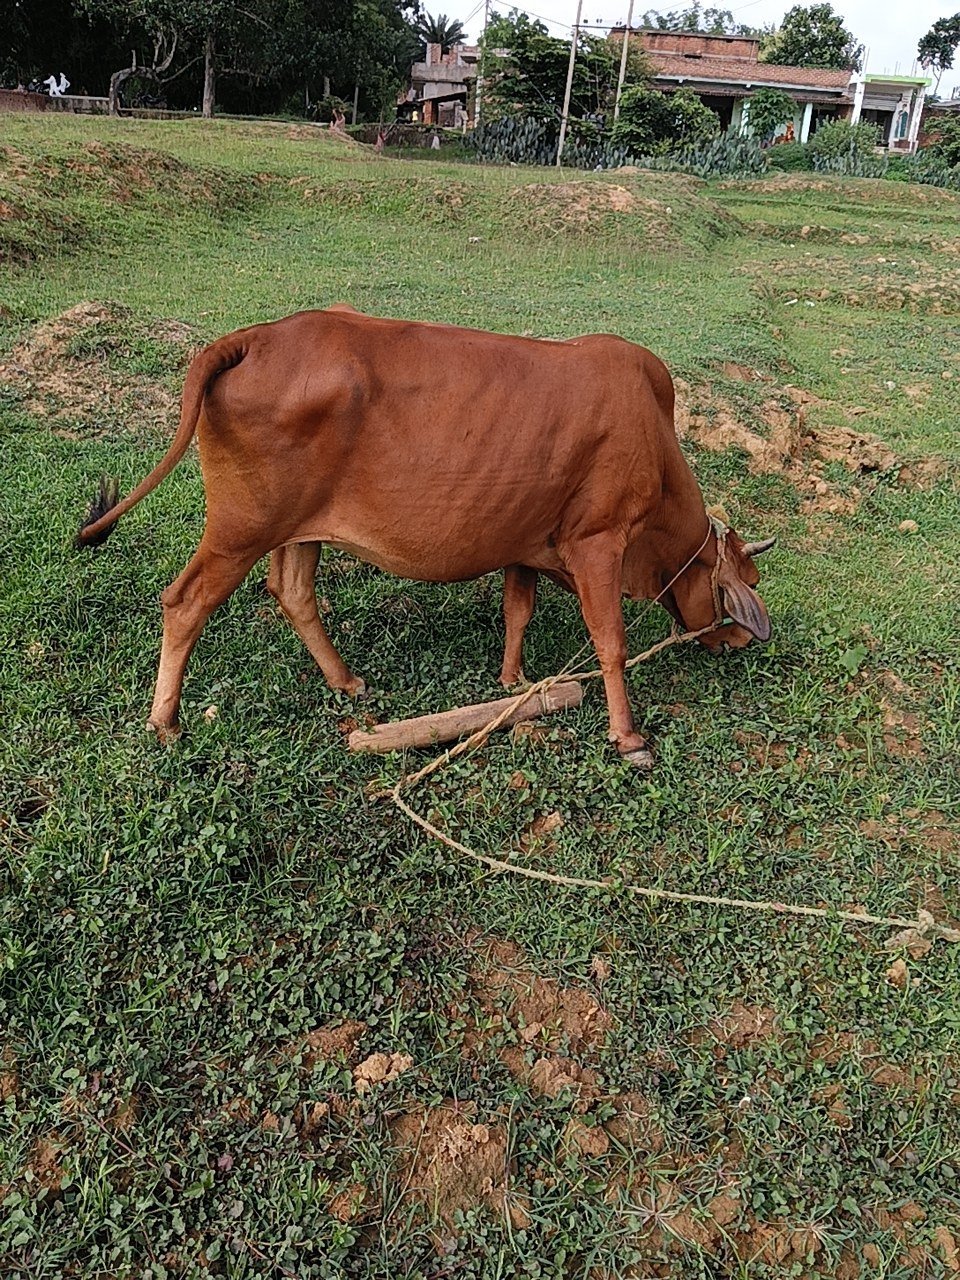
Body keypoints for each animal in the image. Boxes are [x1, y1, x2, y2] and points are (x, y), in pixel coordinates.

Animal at [76, 305, 775, 766]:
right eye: (741, 585)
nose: (741, 641)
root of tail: (257, 337)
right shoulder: (597, 543)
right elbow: (611, 643)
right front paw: (628, 738)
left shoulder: (525, 543)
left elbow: (517, 611)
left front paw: (514, 681)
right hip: (238, 532)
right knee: (185, 602)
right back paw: (166, 721)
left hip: (297, 531)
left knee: (293, 593)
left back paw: (346, 682)